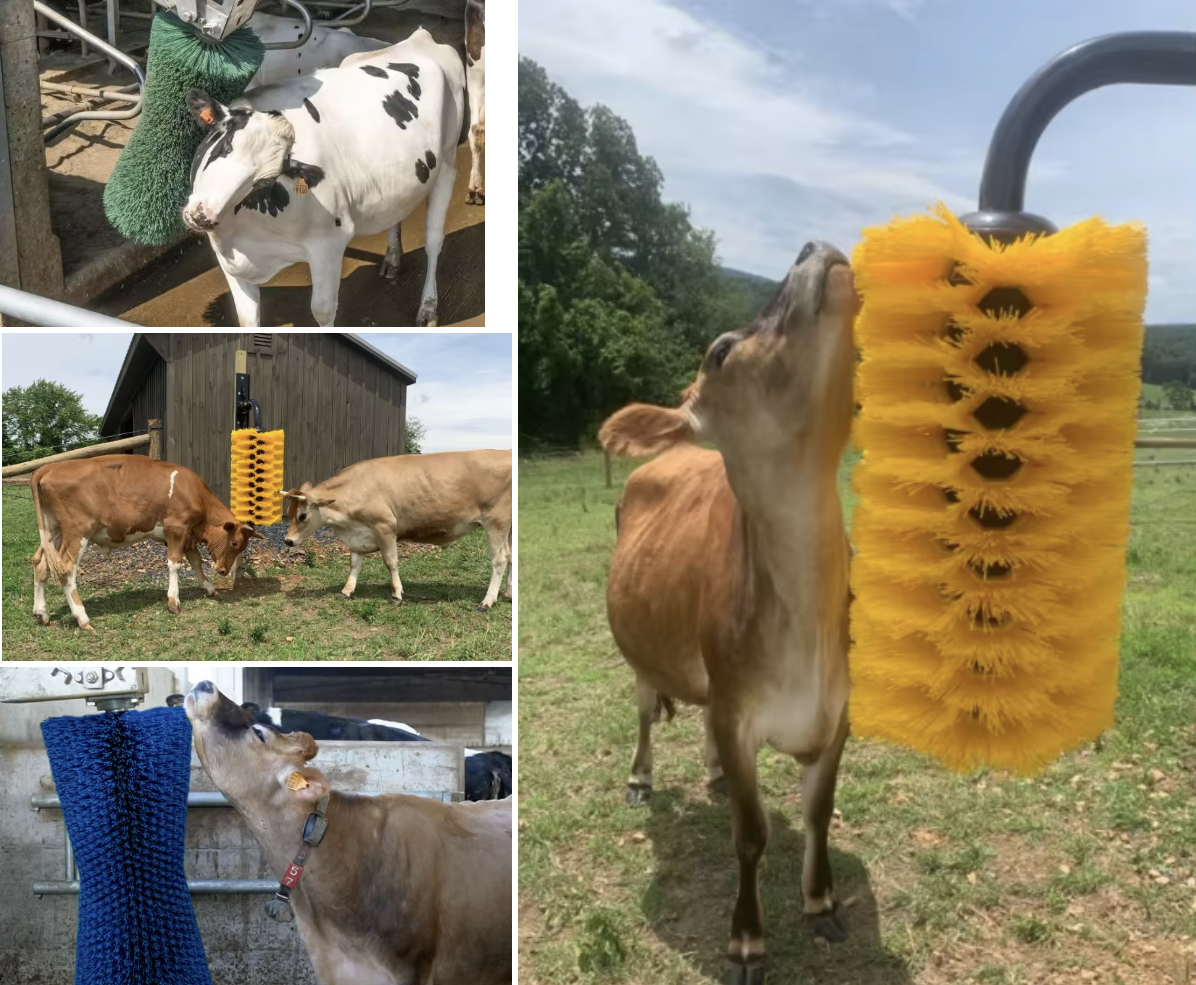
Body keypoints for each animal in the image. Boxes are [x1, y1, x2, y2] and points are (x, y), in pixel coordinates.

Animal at [30, 455, 262, 631]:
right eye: (235, 543)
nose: (223, 571)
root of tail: (50, 467)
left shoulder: (187, 535)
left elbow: (196, 561)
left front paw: (209, 587)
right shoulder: (176, 527)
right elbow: (175, 564)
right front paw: (173, 601)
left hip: (53, 530)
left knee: (40, 563)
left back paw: (41, 613)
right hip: (77, 532)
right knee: (66, 569)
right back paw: (82, 618)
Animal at [182, 28, 464, 328]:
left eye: (265, 180)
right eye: (225, 143)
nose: (202, 215)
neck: (240, 232)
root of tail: (419, 37)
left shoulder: (329, 242)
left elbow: (323, 311)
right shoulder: (230, 259)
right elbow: (247, 319)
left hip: (447, 163)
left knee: (433, 241)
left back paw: (428, 307)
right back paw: (392, 258)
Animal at [280, 449, 512, 612]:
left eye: (302, 516)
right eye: (289, 513)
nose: (288, 541)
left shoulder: (384, 526)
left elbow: (390, 561)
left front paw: (397, 595)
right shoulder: (357, 535)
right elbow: (354, 563)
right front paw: (346, 591)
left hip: (496, 521)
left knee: (499, 559)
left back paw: (487, 601)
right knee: (510, 556)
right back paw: (508, 594)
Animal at [598, 241, 858, 984]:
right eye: (720, 350)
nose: (809, 248)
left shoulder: (839, 710)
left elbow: (819, 811)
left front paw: (821, 903)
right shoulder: (738, 710)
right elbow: (750, 834)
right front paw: (747, 939)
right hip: (640, 654)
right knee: (643, 709)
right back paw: (641, 776)